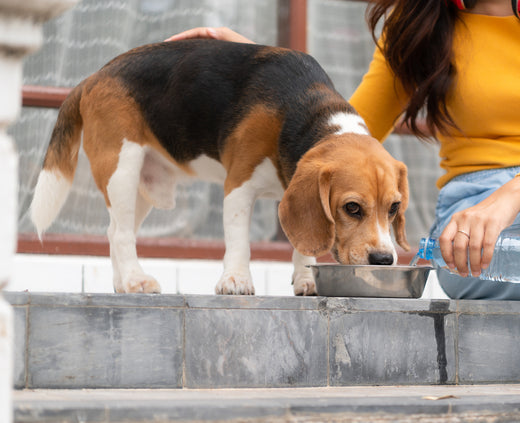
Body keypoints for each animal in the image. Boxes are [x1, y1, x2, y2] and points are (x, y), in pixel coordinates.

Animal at [30, 40, 408, 298]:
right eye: (352, 208)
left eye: (394, 208)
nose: (383, 260)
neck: (309, 113)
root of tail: (94, 76)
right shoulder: (239, 184)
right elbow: (239, 239)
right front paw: (236, 280)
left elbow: (303, 242)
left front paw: (305, 279)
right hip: (121, 168)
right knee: (121, 234)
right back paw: (136, 279)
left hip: (141, 188)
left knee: (113, 232)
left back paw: (124, 282)